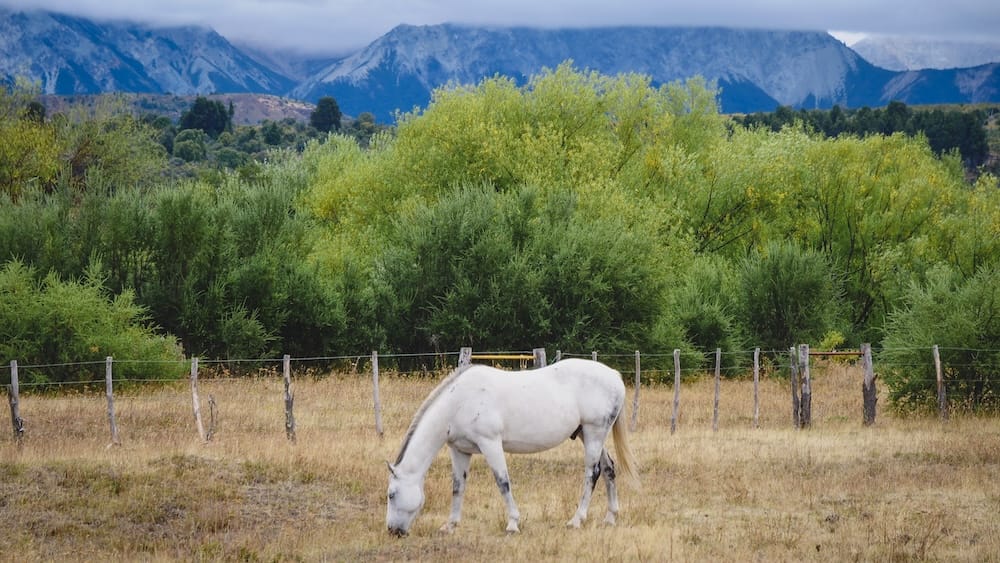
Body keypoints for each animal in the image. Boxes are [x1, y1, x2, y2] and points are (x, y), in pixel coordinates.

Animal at [385, 358, 639, 536]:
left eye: (391, 494)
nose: (393, 531)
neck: (460, 401)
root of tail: (614, 376)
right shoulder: (460, 450)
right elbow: (458, 487)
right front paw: (450, 525)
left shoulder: (490, 444)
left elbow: (502, 482)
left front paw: (513, 524)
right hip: (590, 435)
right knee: (608, 469)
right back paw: (610, 517)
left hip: (594, 433)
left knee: (592, 474)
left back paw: (576, 520)